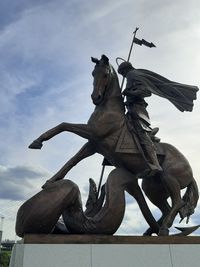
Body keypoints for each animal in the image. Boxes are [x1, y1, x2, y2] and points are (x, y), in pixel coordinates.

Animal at [29, 55, 198, 237]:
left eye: (105, 74)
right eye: (93, 73)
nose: (95, 97)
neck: (109, 108)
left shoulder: (93, 132)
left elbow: (64, 125)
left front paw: (38, 141)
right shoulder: (93, 145)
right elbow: (73, 159)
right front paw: (50, 180)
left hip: (169, 178)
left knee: (178, 203)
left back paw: (164, 228)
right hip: (152, 189)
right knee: (166, 208)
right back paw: (153, 230)